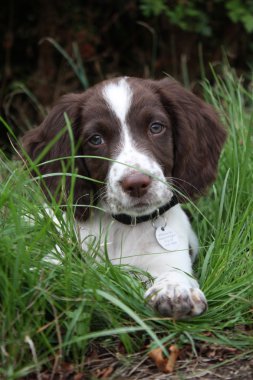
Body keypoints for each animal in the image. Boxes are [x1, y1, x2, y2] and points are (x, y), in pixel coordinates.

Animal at [22, 76, 226, 318]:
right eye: (96, 139)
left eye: (156, 127)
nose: (136, 183)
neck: (125, 226)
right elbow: (50, 266)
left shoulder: (172, 255)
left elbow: (175, 273)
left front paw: (175, 290)